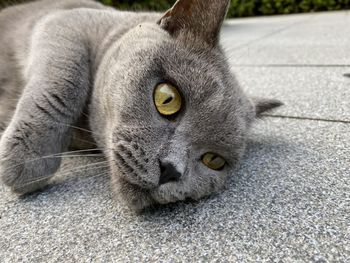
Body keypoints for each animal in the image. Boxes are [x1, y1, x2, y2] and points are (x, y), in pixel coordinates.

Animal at [0, 0, 280, 211]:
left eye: (214, 160)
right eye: (167, 98)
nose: (171, 170)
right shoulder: (66, 19)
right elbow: (65, 79)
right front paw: (28, 159)